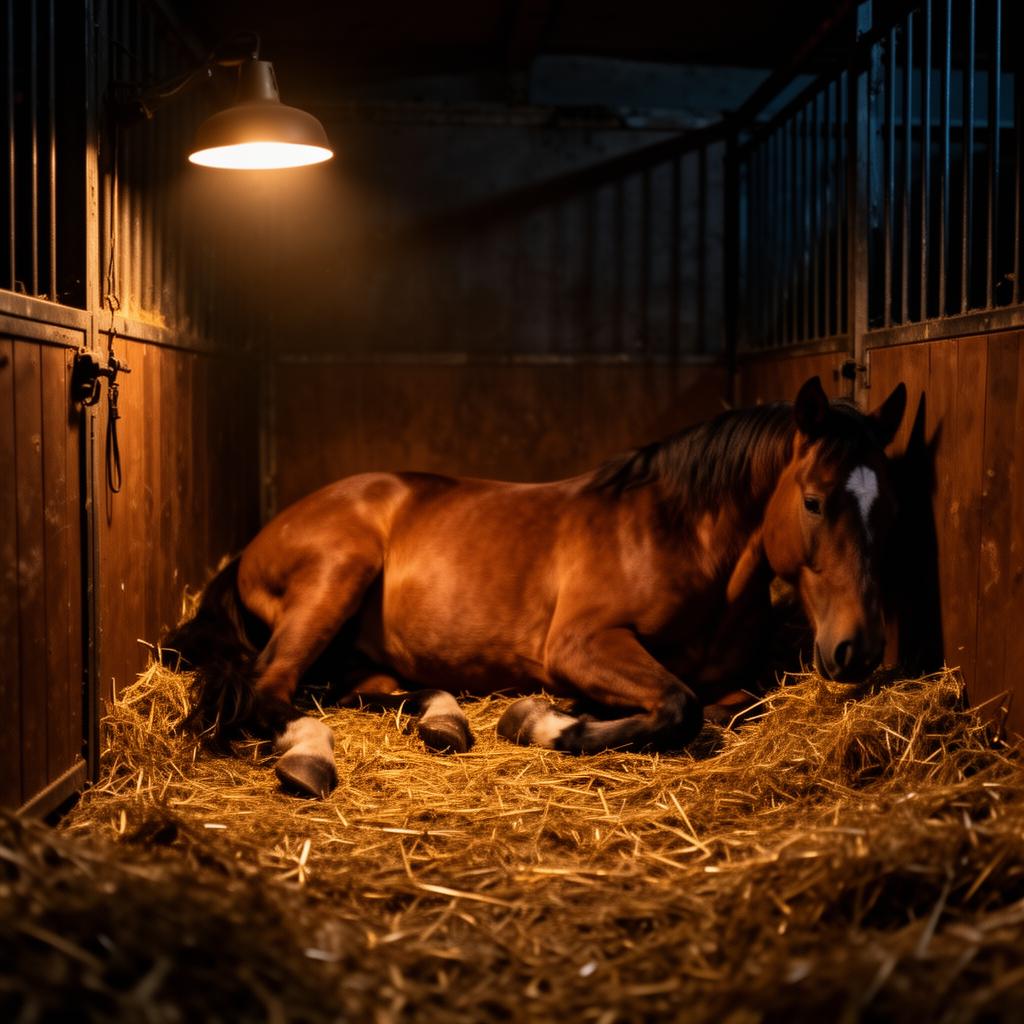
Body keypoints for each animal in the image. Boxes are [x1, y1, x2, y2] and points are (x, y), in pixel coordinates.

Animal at [164, 375, 906, 798]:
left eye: (887, 505)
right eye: (814, 502)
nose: (859, 650)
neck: (680, 537)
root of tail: (260, 539)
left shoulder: (729, 680)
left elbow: (724, 708)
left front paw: (556, 713)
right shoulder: (581, 645)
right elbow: (681, 706)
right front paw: (553, 725)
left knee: (360, 689)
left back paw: (444, 719)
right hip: (336, 578)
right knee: (272, 690)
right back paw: (310, 758)